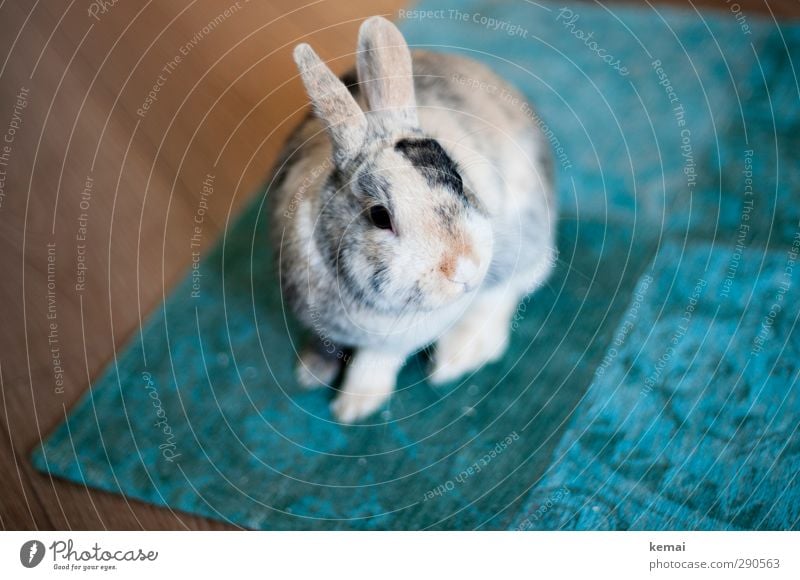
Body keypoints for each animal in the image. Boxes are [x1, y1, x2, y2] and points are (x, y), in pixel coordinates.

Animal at [268, 14, 556, 422]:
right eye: (380, 216)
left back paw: (457, 356)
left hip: (522, 237)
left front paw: (354, 406)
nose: (465, 268)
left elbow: (375, 362)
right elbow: (327, 345)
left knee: (507, 288)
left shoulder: (394, 341)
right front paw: (309, 370)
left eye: (459, 179)